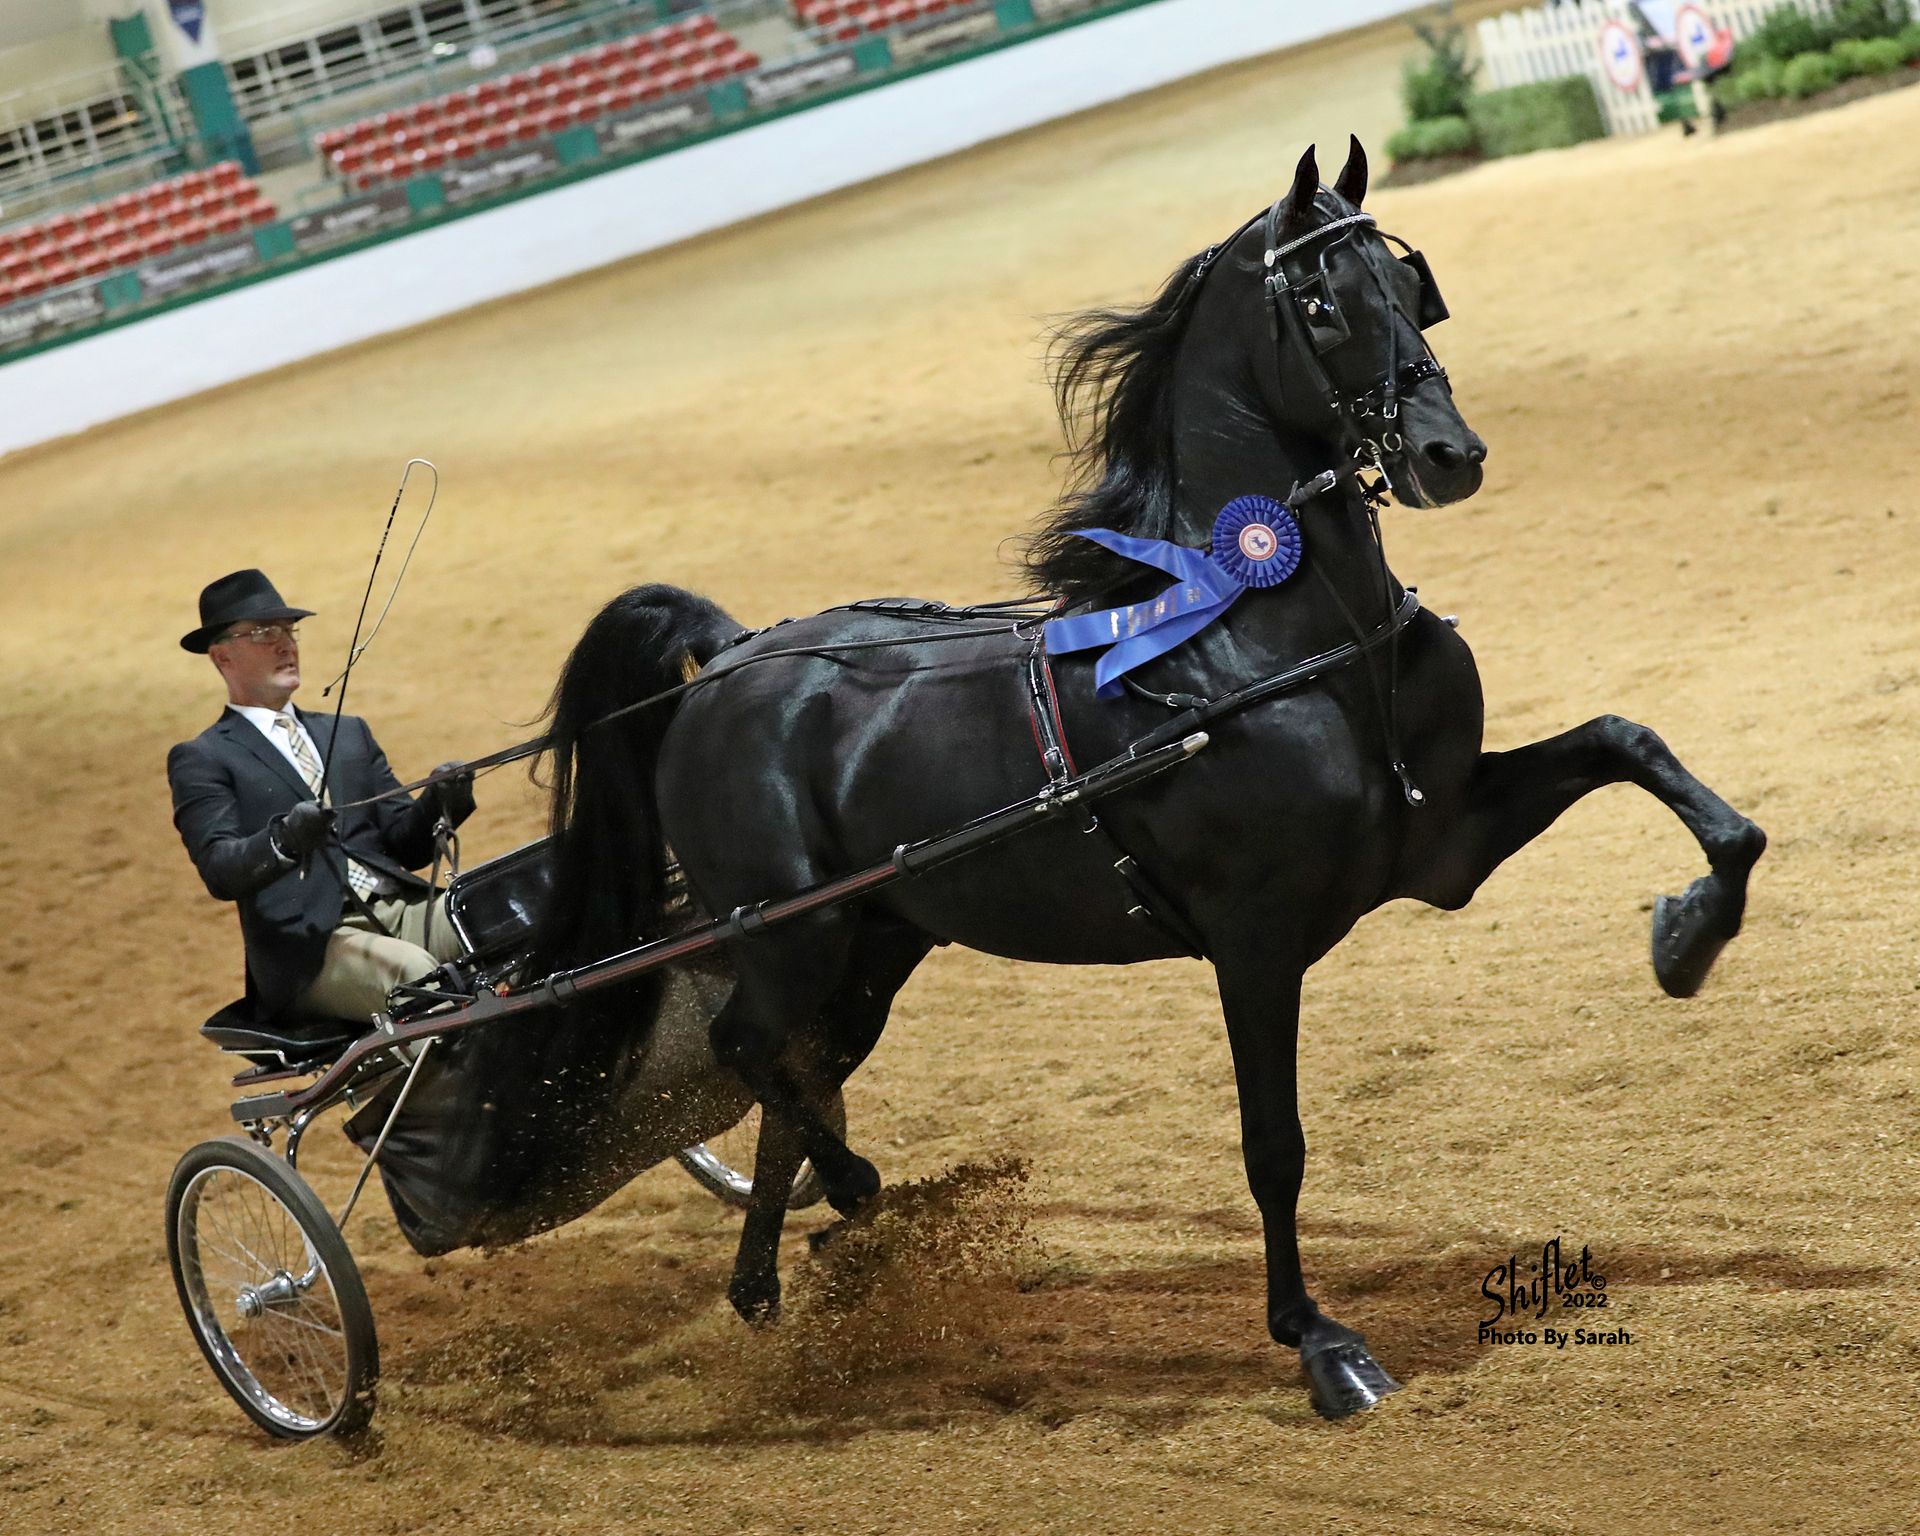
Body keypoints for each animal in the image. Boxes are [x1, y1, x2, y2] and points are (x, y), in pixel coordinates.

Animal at [529, 140, 1766, 1417]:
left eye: (1411, 287)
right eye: (1323, 304)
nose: (1447, 457)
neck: (1267, 641)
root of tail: (730, 658)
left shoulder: (1442, 845)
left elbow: (1629, 744)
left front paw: (1689, 933)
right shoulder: (1254, 937)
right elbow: (1274, 1144)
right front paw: (1320, 1344)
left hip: (877, 943)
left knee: (797, 1069)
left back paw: (782, 1279)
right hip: (790, 935)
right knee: (747, 1049)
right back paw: (856, 1195)